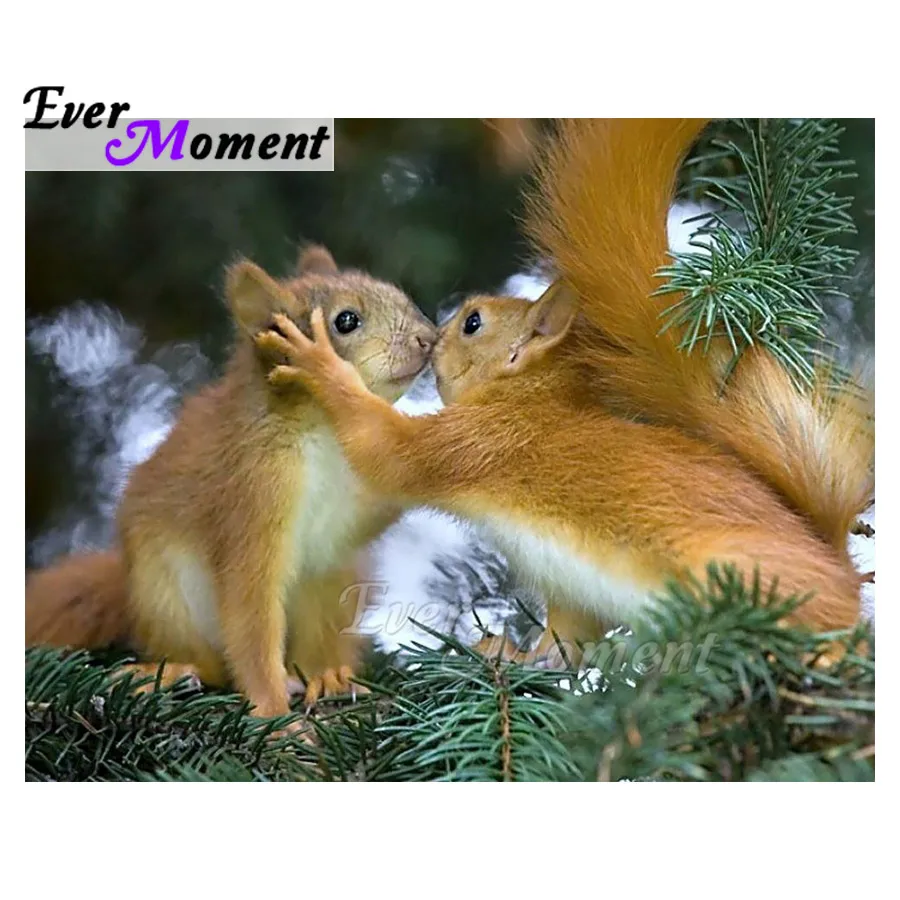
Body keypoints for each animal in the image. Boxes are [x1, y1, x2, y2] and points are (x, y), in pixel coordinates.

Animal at [26, 246, 436, 721]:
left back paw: (328, 674)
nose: (429, 338)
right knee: (211, 664)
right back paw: (169, 673)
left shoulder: (346, 523)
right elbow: (251, 617)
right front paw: (275, 716)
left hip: (341, 580)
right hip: (165, 594)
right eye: (346, 321)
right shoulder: (251, 497)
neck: (325, 433)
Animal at [253, 119, 874, 666]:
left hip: (741, 574)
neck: (528, 398)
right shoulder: (568, 594)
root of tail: (836, 565)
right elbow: (564, 644)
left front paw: (318, 362)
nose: (430, 337)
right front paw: (513, 654)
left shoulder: (476, 442)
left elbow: (387, 451)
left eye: (473, 323)